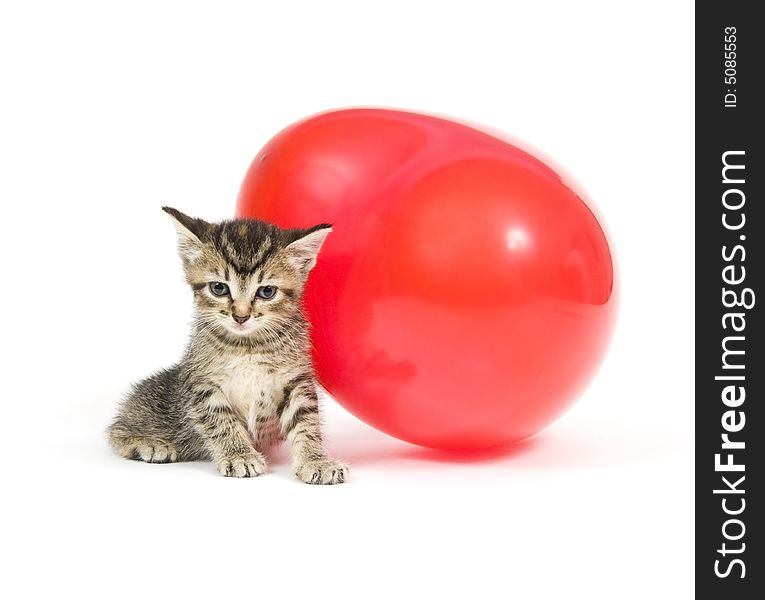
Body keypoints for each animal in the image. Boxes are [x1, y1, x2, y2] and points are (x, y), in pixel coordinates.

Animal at [106, 209, 348, 486]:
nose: (241, 316)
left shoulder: (297, 380)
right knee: (117, 430)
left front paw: (316, 460)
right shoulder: (202, 383)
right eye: (219, 288)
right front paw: (239, 455)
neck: (248, 346)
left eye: (267, 291)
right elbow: (220, 420)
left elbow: (306, 421)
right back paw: (151, 445)